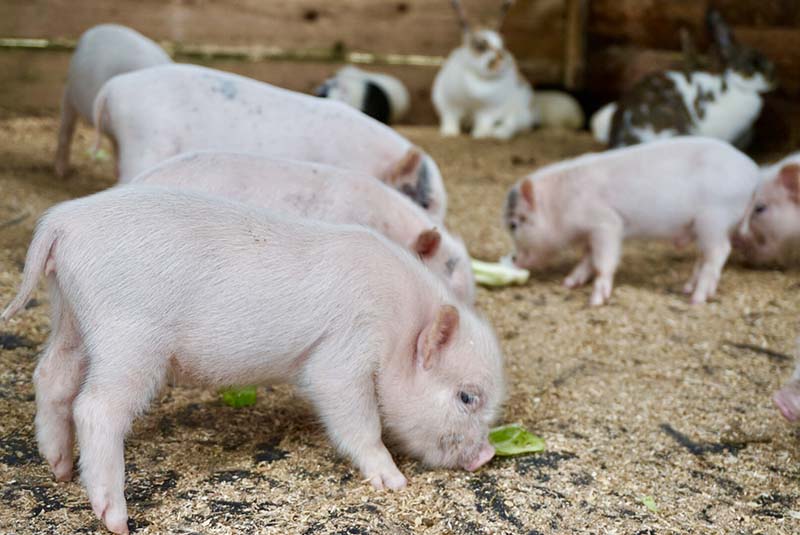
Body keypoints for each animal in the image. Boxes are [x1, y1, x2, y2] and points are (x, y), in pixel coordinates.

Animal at [432, 0, 532, 140]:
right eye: (480, 46)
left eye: (503, 46)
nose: (502, 63)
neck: (478, 77)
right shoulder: (448, 102)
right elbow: (450, 118)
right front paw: (449, 133)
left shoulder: (489, 108)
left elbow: (484, 121)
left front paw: (480, 134)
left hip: (518, 107)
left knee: (512, 122)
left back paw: (500, 134)